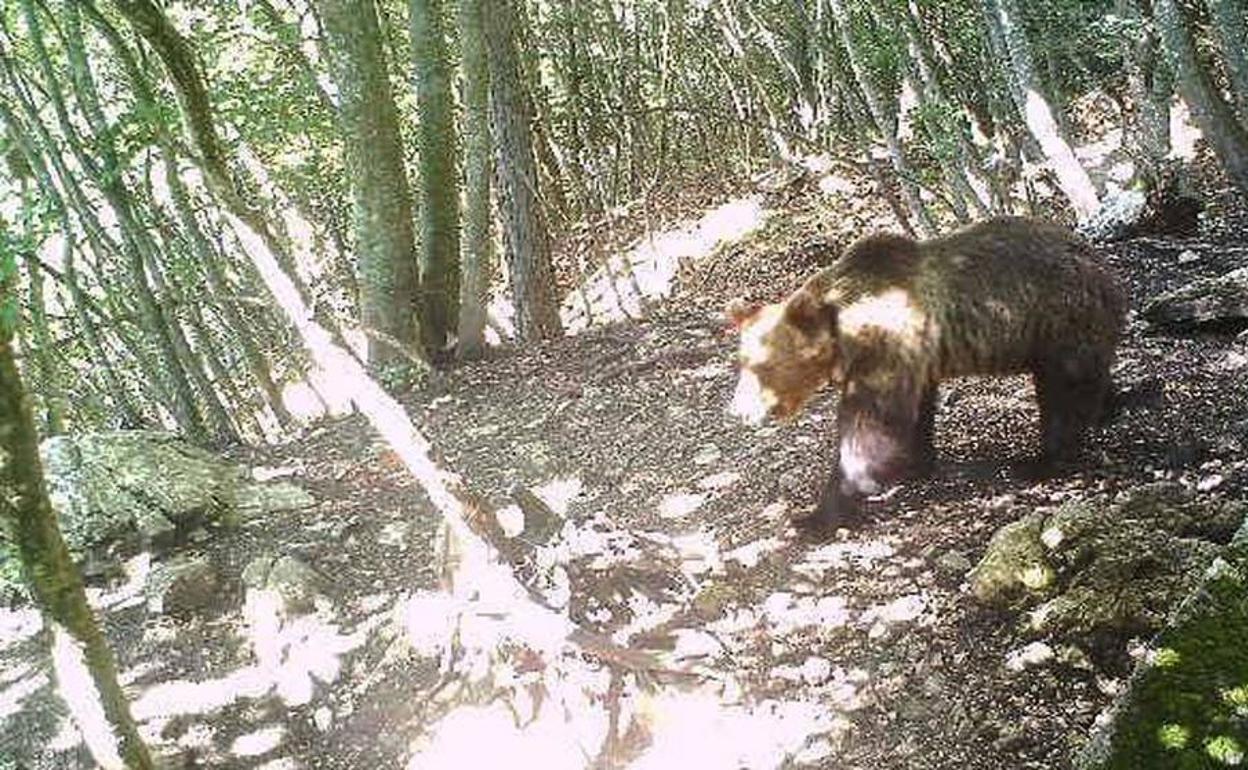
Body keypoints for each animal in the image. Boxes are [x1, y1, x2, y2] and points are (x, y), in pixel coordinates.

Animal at [727, 217, 1127, 532]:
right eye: (742, 361)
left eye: (762, 366)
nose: (738, 411)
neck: (844, 334)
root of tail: (1100, 262)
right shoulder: (915, 357)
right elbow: (914, 412)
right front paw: (915, 463)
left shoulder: (884, 346)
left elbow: (870, 425)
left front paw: (819, 513)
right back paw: (1111, 406)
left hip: (1056, 319)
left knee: (1064, 391)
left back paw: (1040, 461)